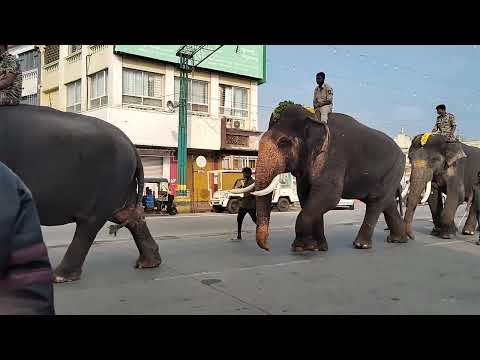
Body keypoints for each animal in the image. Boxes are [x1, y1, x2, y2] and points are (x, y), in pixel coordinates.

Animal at [0, 105, 162, 282]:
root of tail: (131, 145)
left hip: (111, 178)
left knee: (91, 221)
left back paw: (60, 276)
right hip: (123, 181)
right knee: (126, 215)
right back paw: (149, 263)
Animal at [234, 103, 406, 250]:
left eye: (283, 143)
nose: (268, 248)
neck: (313, 117)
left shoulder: (334, 157)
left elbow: (329, 196)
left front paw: (302, 247)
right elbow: (305, 195)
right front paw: (318, 247)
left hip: (395, 169)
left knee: (376, 202)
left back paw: (361, 245)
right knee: (387, 202)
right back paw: (398, 239)